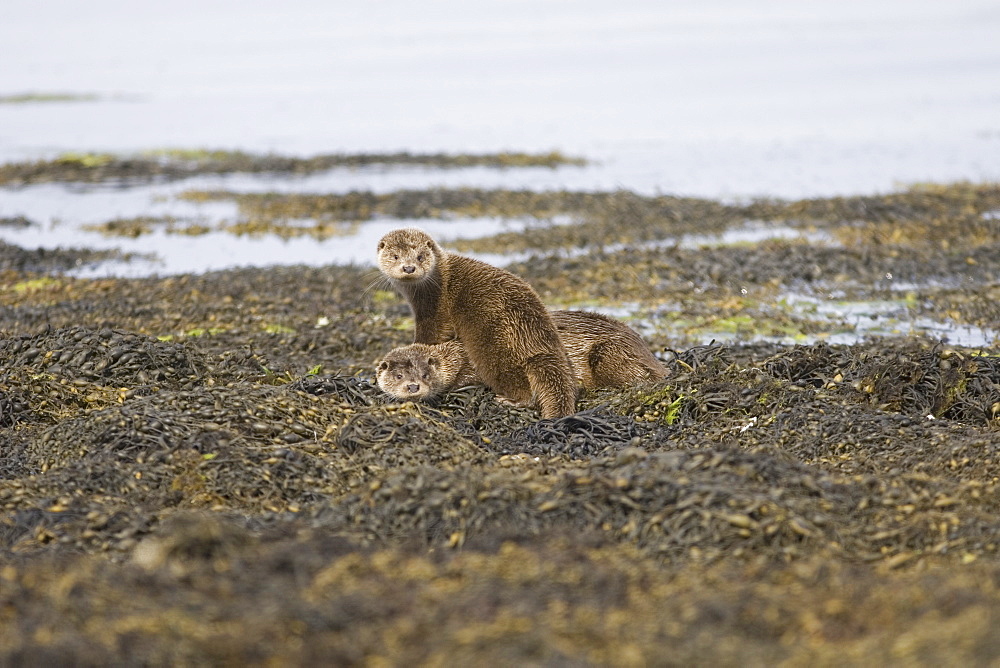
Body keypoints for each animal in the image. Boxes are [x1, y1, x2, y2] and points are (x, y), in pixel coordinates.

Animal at [376, 228, 580, 418]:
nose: (409, 268)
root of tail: (536, 338)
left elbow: (433, 334)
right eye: (395, 256)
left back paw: (509, 400)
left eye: (420, 256)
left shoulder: (435, 309)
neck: (435, 283)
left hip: (495, 347)